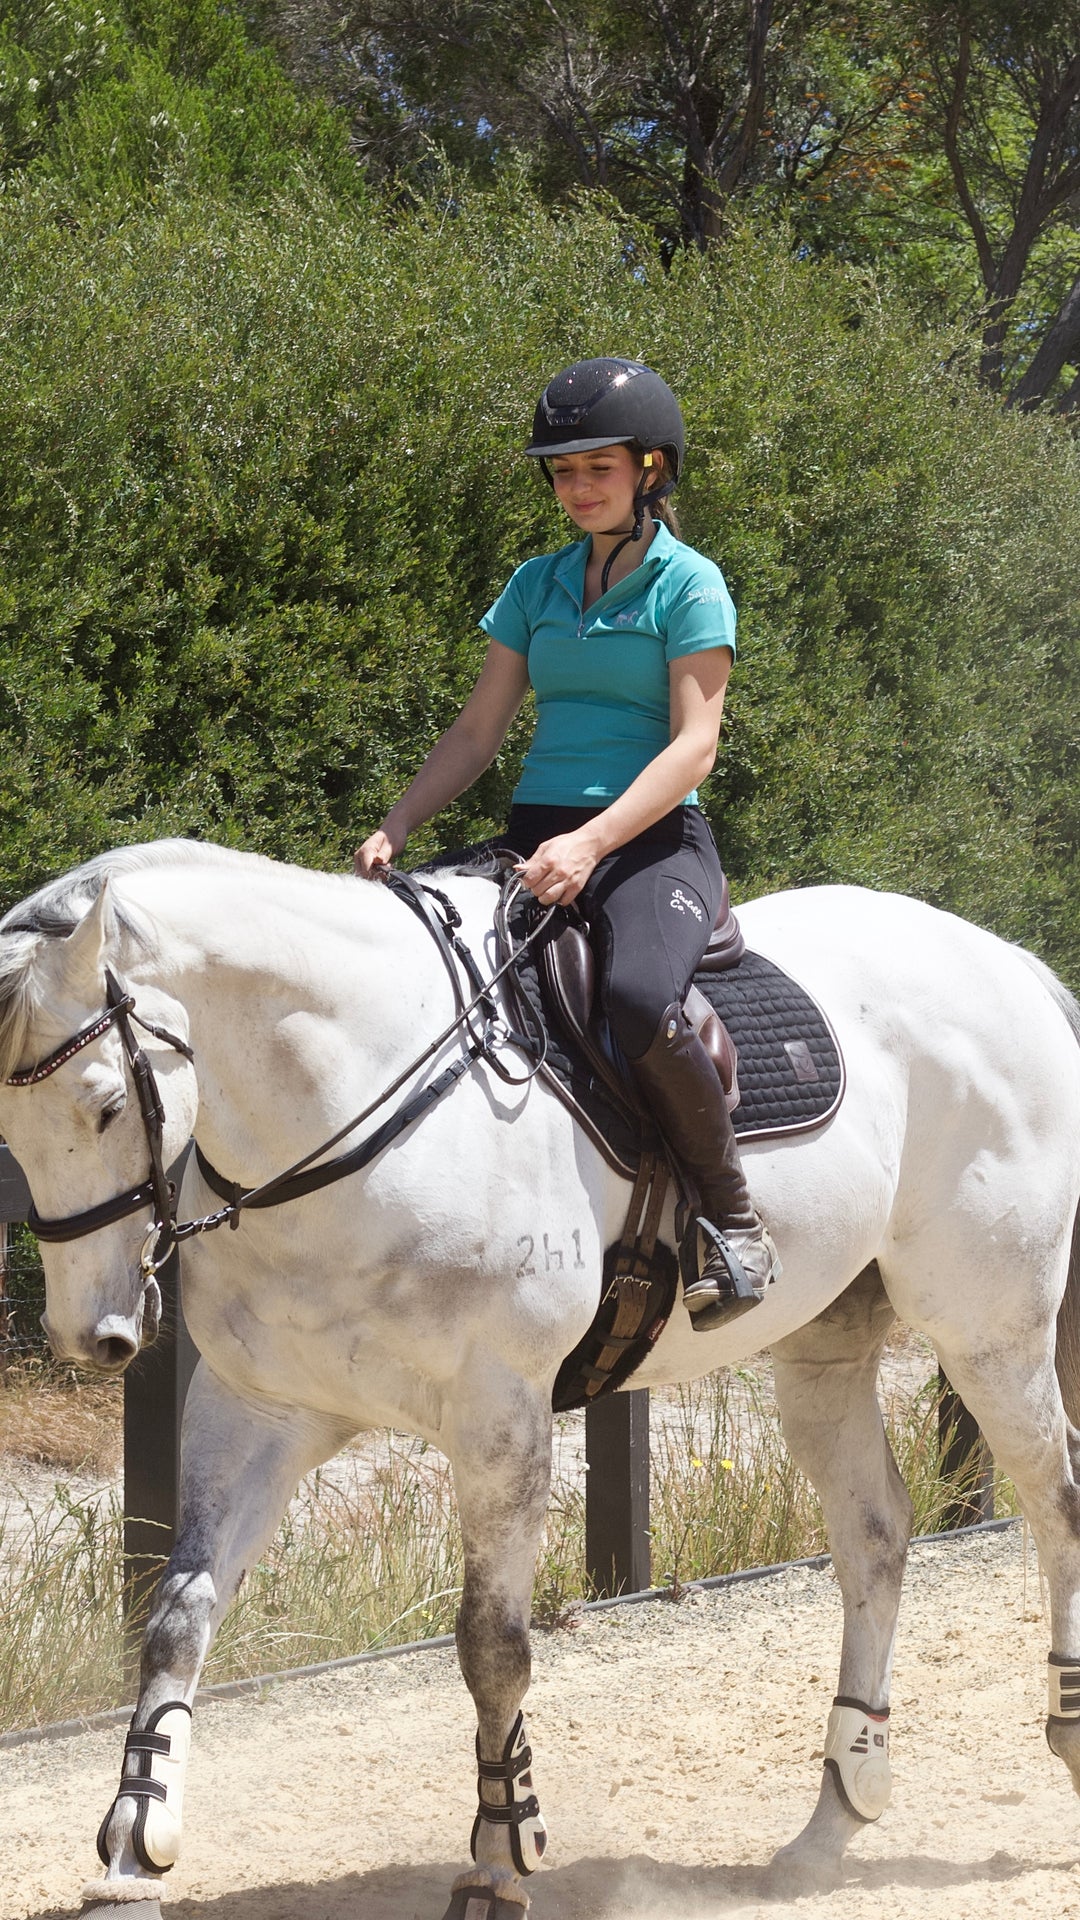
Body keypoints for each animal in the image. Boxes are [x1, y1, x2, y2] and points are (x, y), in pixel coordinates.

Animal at [2, 844, 1076, 1920]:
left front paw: (500, 1854)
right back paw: (833, 1818)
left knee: (1054, 1502)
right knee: (875, 1536)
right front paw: (132, 1850)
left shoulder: (500, 1419)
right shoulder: (255, 1411)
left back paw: (1060, 1733)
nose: (89, 1335)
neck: (350, 1112)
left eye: (104, 1105)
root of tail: (1008, 965)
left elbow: (492, 1646)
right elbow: (177, 1618)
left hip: (989, 1334)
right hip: (824, 1355)